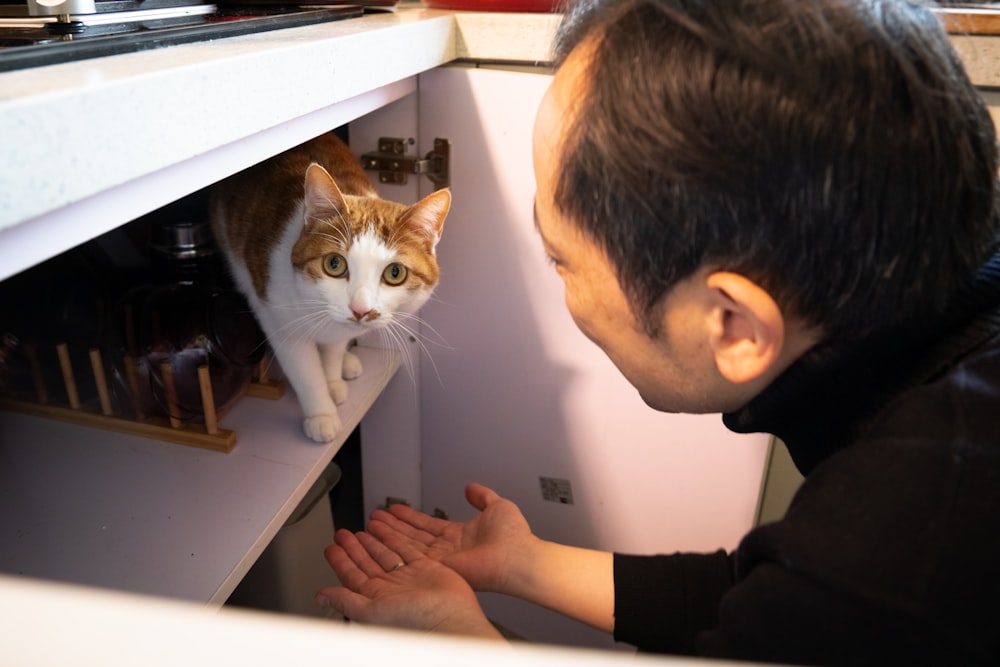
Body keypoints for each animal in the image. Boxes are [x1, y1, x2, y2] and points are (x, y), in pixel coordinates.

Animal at [213, 132, 452, 440]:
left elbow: (333, 349)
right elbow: (304, 369)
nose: (361, 310)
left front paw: (333, 379)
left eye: (395, 273)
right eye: (334, 264)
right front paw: (322, 413)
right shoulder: (276, 317)